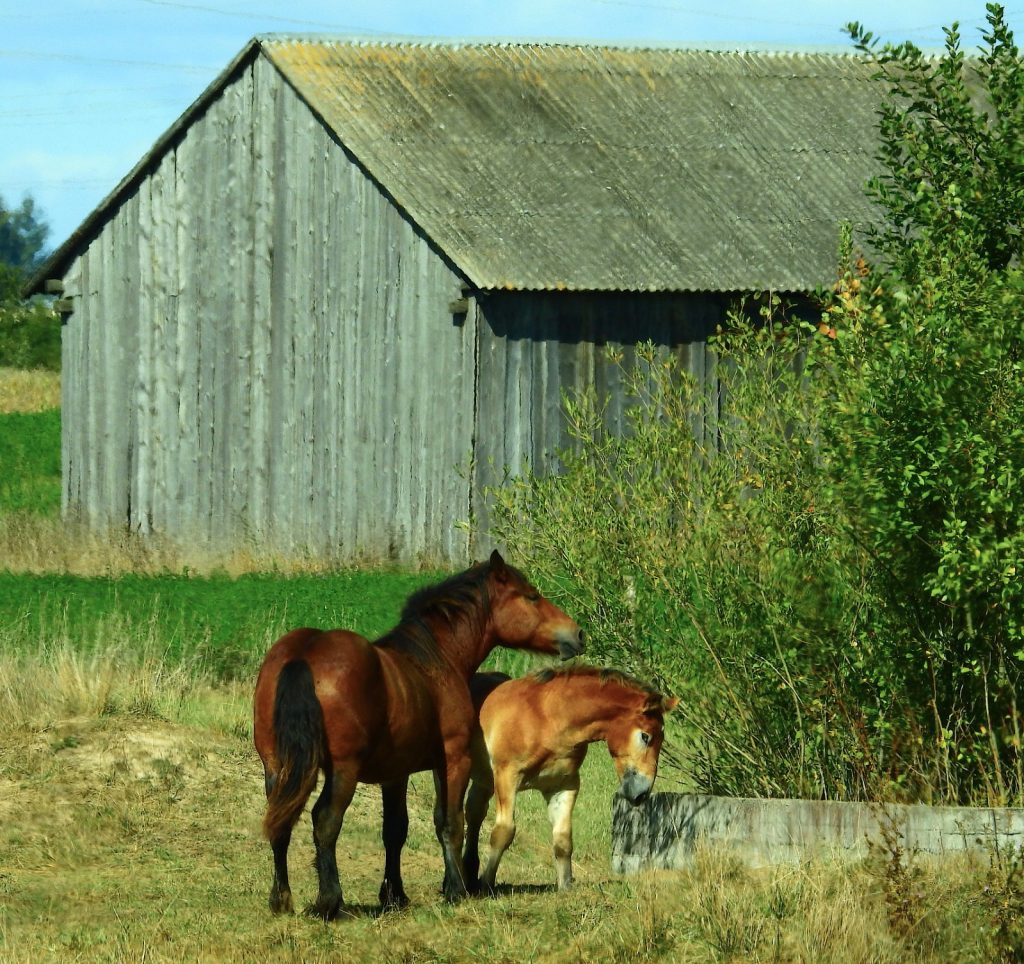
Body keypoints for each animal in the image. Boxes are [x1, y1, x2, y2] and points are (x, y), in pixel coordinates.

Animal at [252, 550, 584, 919]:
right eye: (531, 596)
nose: (578, 634)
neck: (435, 660)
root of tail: (305, 654)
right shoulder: (452, 760)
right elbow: (449, 822)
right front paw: (455, 890)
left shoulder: (394, 774)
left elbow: (395, 830)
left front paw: (394, 895)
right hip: (343, 771)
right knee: (325, 821)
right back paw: (329, 901)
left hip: (276, 766)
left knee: (280, 824)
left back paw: (281, 899)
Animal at [463, 667, 678, 892]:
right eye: (645, 737)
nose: (641, 794)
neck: (546, 718)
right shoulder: (507, 777)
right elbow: (503, 832)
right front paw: (486, 883)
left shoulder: (564, 785)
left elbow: (563, 837)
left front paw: (565, 884)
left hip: (485, 780)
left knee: (475, 813)